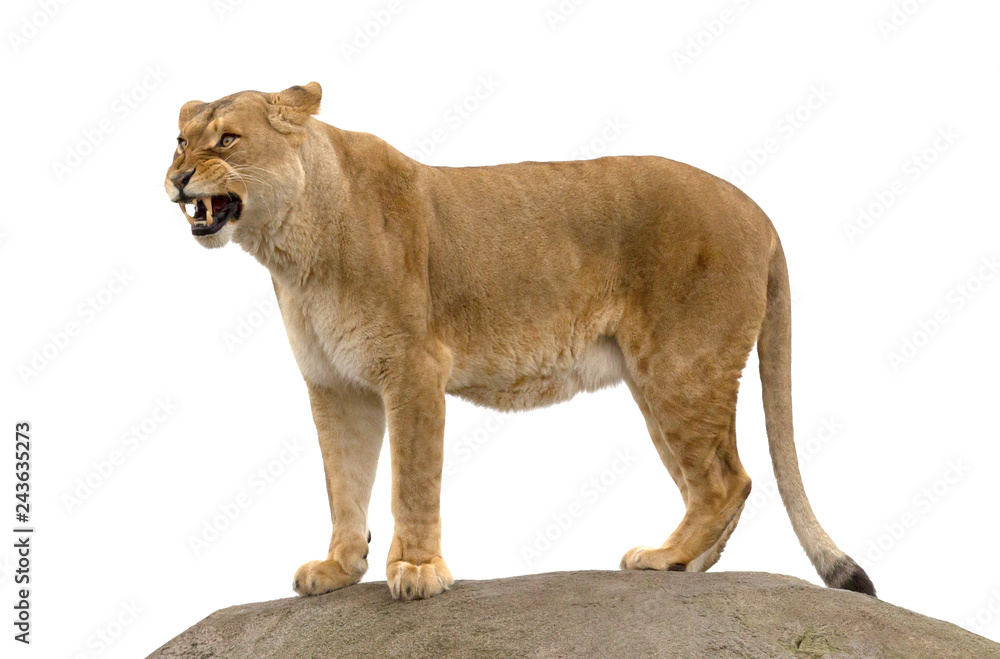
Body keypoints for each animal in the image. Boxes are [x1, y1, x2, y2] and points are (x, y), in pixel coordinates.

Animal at [164, 82, 876, 601]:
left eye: (228, 139)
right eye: (179, 142)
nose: (176, 179)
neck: (293, 247)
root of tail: (759, 211)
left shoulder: (414, 368)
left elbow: (411, 479)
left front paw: (416, 571)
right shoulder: (336, 385)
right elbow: (345, 481)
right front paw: (339, 569)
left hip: (680, 370)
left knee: (728, 481)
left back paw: (664, 558)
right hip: (657, 385)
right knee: (721, 484)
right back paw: (685, 565)